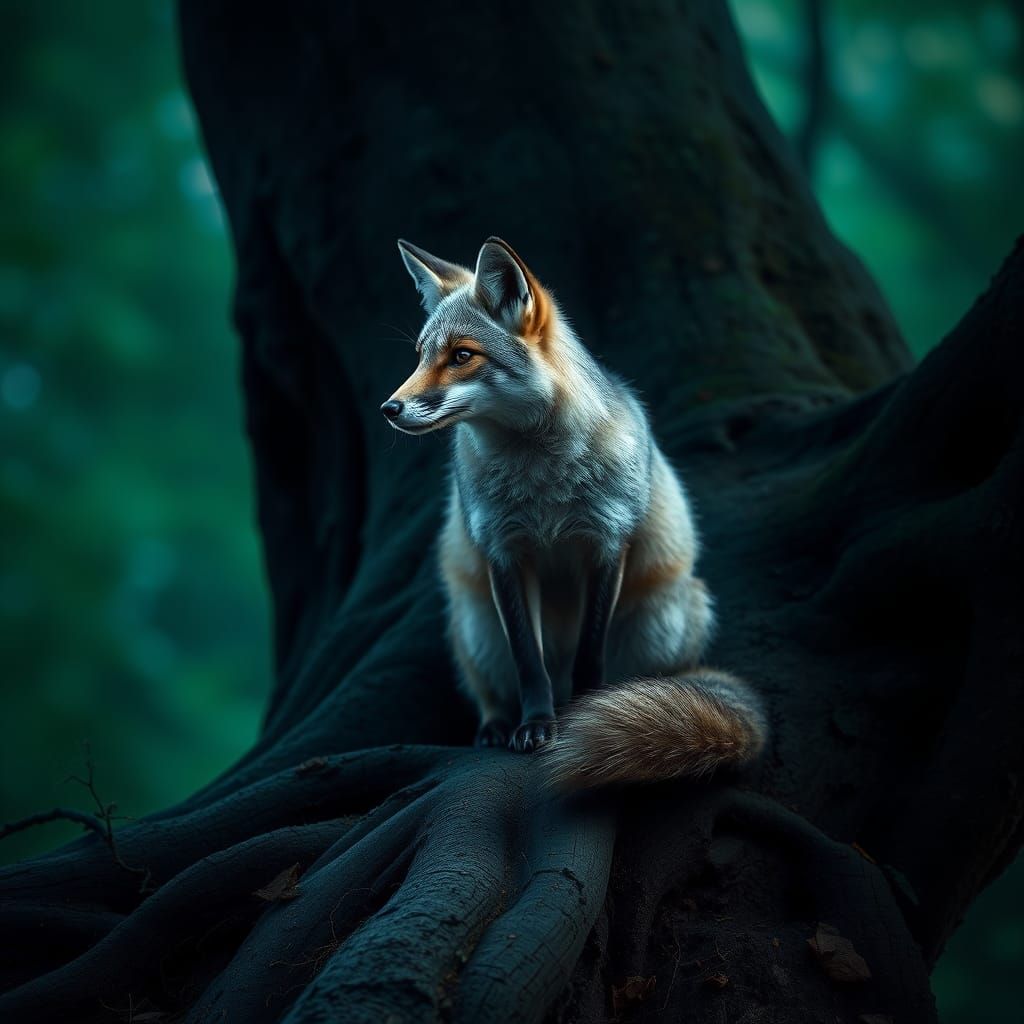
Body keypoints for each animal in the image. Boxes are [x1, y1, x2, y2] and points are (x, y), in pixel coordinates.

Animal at [381, 236, 766, 789]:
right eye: (420, 356)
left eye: (461, 356)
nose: (389, 409)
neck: (542, 486)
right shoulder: (505, 553)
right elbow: (529, 661)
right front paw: (536, 726)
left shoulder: (606, 544)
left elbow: (590, 653)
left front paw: (587, 719)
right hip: (475, 625)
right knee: (497, 690)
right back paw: (498, 725)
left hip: (666, 615)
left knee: (638, 679)